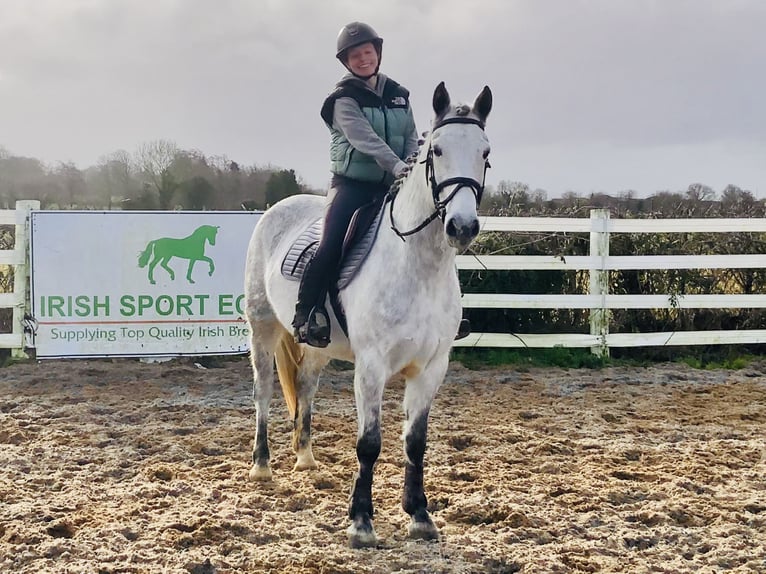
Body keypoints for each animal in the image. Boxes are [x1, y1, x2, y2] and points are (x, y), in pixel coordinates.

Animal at [243, 81, 492, 548]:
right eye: (437, 151)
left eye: (485, 152)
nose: (462, 227)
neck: (418, 267)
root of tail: (276, 208)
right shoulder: (372, 366)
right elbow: (369, 443)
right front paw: (361, 522)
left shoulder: (432, 367)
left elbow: (415, 442)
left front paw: (420, 516)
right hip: (262, 327)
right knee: (264, 390)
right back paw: (262, 465)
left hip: (316, 346)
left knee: (305, 387)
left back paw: (305, 457)